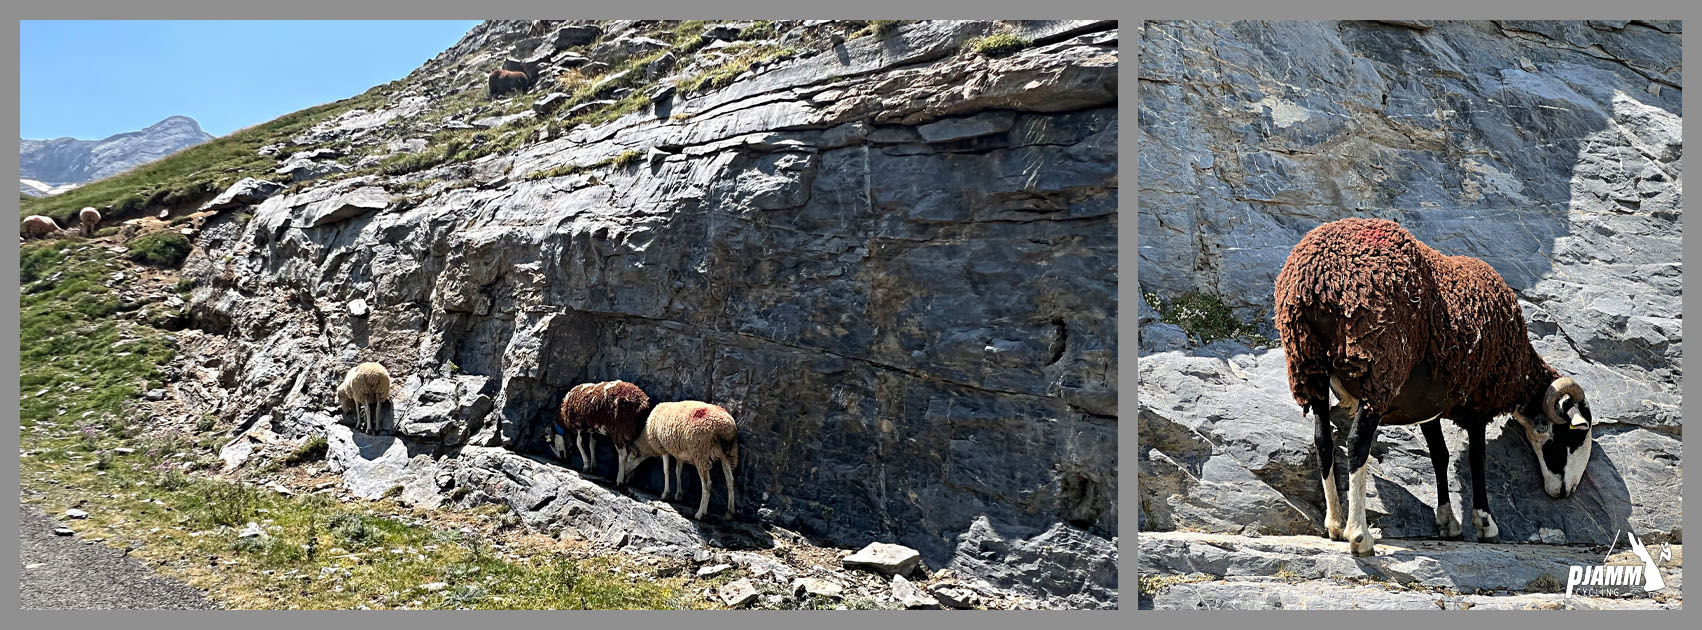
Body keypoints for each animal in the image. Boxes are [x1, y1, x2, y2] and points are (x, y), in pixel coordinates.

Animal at [1274, 217, 1594, 556]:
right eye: (1576, 434)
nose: (1565, 492)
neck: (1517, 366)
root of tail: (1318, 279)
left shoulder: (1426, 406)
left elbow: (1440, 455)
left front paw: (1447, 522)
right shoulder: (1477, 404)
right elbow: (1476, 459)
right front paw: (1486, 523)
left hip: (1307, 366)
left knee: (1322, 440)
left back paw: (1334, 525)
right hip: (1380, 369)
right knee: (1358, 443)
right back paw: (1359, 535)